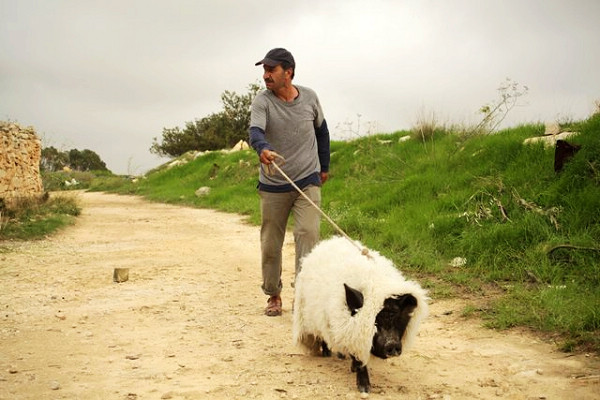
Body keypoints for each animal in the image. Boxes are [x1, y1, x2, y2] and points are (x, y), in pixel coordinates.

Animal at [292, 236, 428, 392]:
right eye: (376, 320)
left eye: (398, 317)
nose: (391, 344)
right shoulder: (355, 328)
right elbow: (358, 356)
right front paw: (364, 388)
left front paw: (354, 370)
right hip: (314, 314)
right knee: (322, 334)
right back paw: (326, 354)